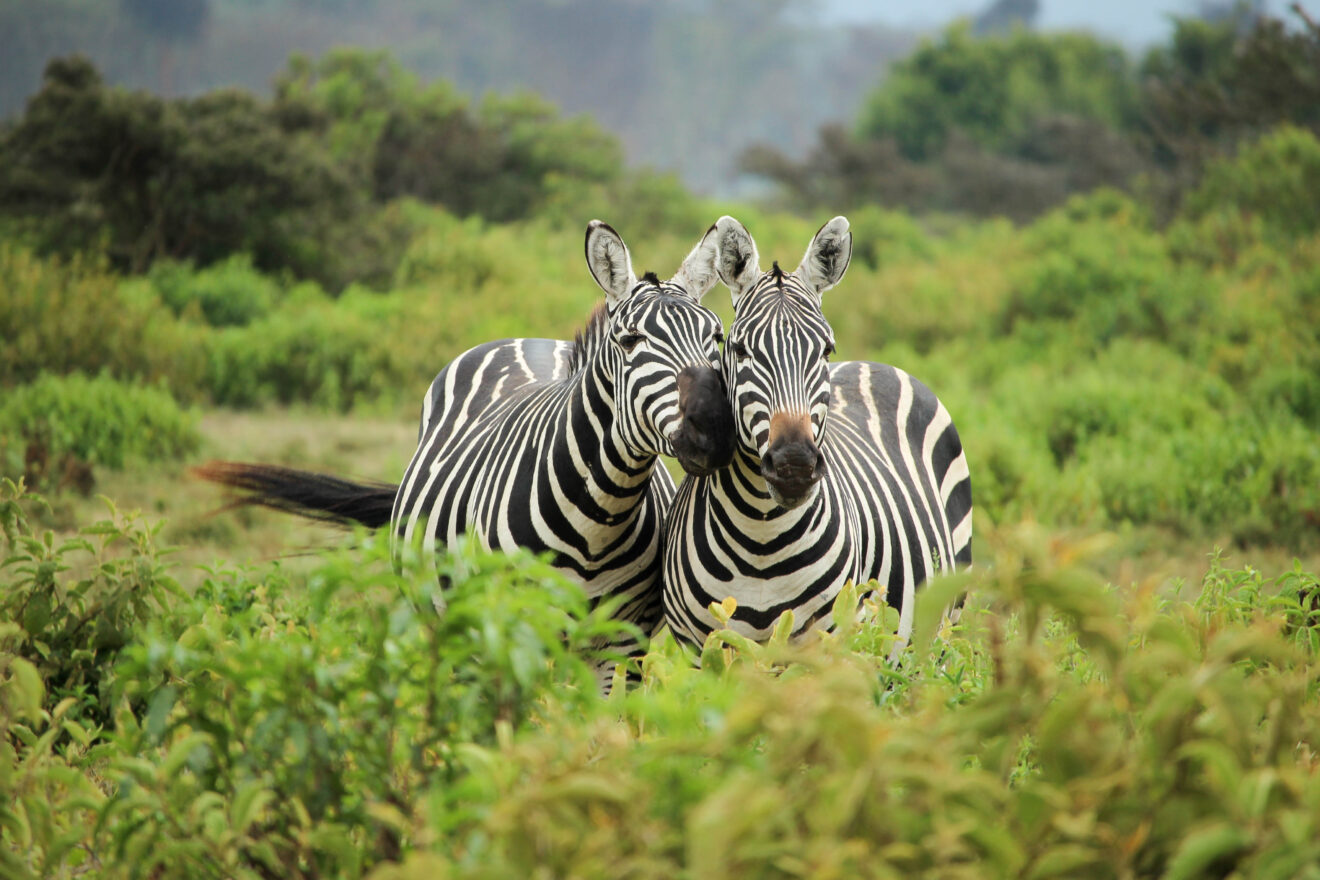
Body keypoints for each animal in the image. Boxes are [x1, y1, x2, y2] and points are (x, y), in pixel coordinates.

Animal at [198, 220, 734, 663]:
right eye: (630, 342)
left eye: (717, 338)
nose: (714, 430)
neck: (598, 519)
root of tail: (526, 340)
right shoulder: (510, 629)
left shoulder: (624, 643)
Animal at [661, 215, 972, 654]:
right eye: (739, 350)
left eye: (825, 350)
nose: (794, 465)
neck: (760, 537)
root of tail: (873, 364)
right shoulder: (700, 649)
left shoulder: (826, 646)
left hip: (944, 624)